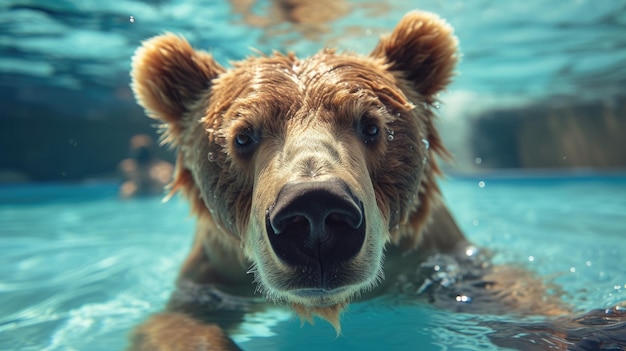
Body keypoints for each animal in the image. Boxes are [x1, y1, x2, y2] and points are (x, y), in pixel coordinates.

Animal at [127, 9, 624, 350]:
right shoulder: (213, 277)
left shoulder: (438, 257)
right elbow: (173, 325)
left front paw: (596, 327)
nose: (315, 213)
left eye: (371, 126)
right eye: (243, 136)